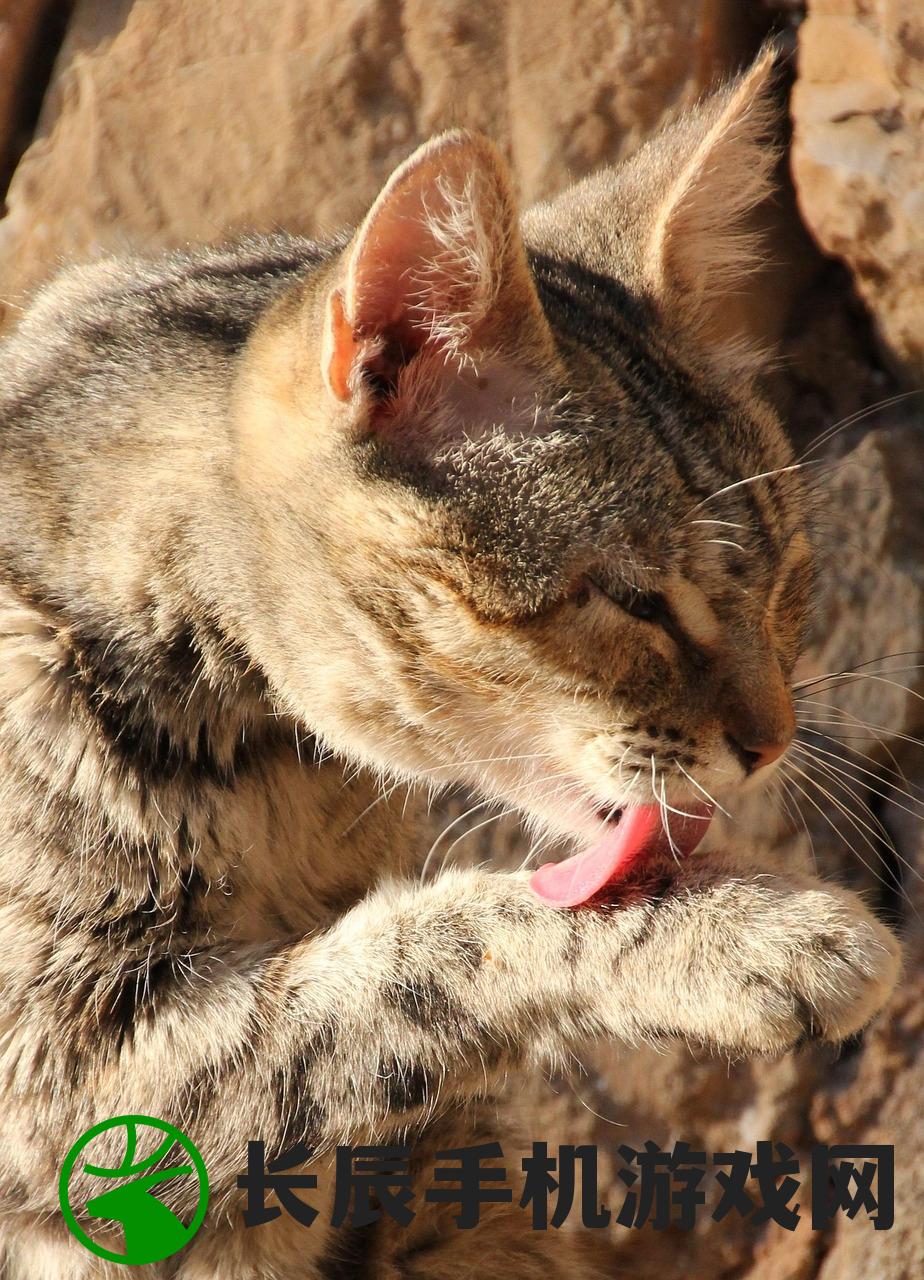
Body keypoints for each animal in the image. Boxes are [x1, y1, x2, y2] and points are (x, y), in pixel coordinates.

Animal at [0, 47, 895, 1280]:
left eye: (789, 575)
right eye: (634, 598)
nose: (771, 744)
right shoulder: (57, 1068)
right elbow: (422, 948)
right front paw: (749, 936)